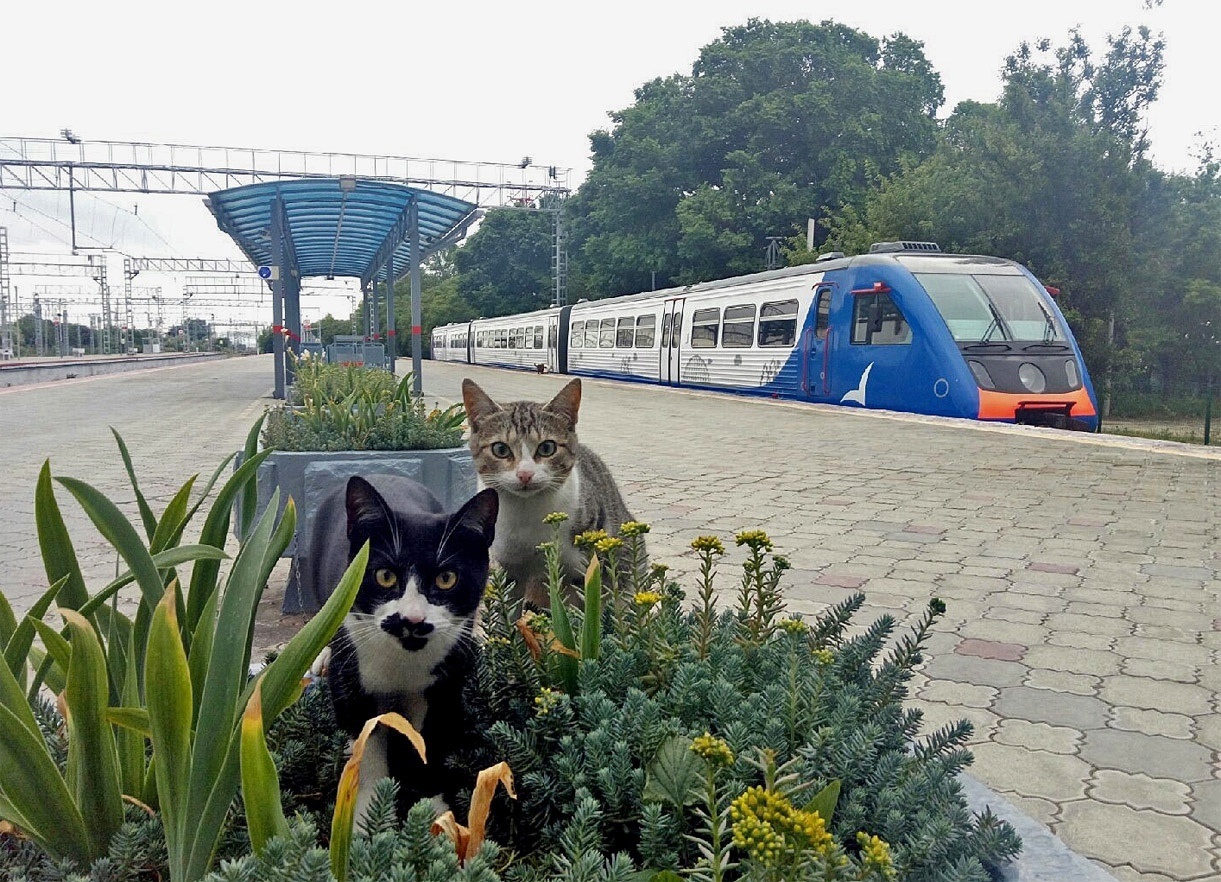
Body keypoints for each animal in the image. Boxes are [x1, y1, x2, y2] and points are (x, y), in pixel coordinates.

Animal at [319, 473, 500, 825]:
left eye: (447, 578)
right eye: (385, 575)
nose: (412, 619)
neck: (402, 663)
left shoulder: (445, 684)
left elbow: (429, 742)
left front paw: (433, 815)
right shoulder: (350, 679)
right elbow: (366, 746)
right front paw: (367, 821)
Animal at [456, 373, 634, 608]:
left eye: (547, 448)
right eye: (500, 449)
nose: (525, 474)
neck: (527, 511)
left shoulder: (585, 568)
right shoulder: (509, 570)